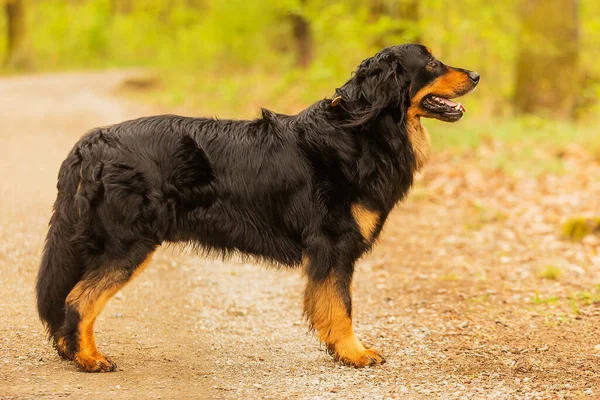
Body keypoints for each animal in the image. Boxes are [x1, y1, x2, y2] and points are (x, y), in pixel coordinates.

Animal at [36, 43, 478, 372]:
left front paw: (341, 350)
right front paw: (353, 352)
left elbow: (329, 305)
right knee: (78, 299)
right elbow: (341, 307)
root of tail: (91, 143)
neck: (362, 130)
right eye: (432, 63)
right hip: (129, 243)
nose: (476, 75)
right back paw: (89, 358)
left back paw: (70, 351)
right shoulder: (333, 244)